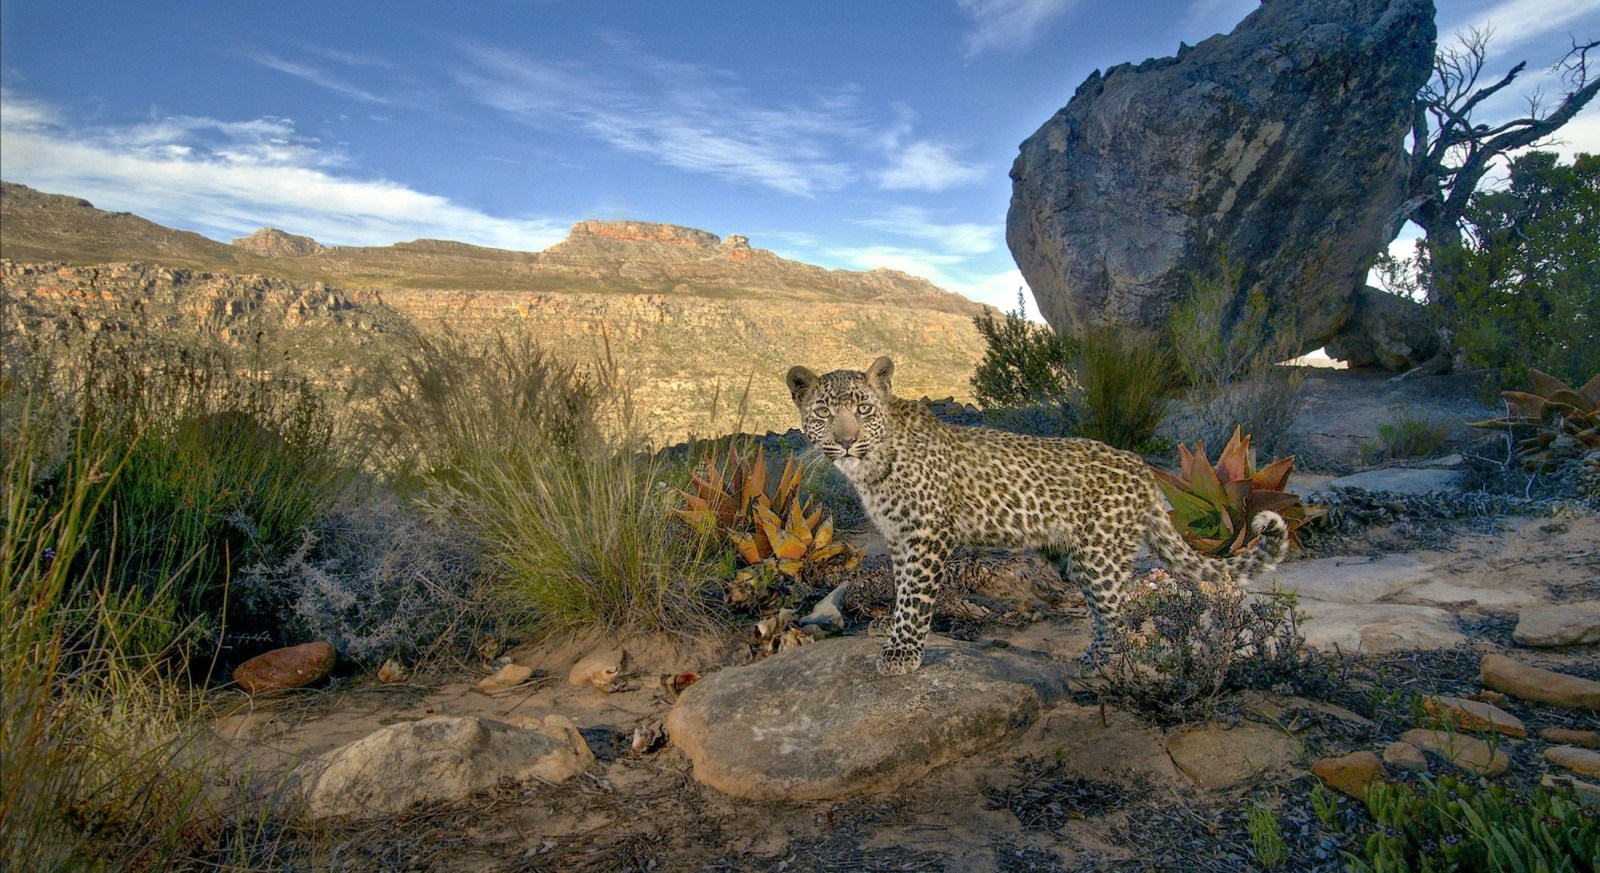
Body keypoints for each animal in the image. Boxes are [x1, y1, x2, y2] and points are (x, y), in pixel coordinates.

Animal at [786, 355, 1289, 677]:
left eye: (863, 408)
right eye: (824, 412)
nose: (846, 441)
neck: (869, 468)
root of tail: (1144, 471)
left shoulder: (927, 535)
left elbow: (915, 598)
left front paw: (902, 653)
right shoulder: (896, 537)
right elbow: (899, 589)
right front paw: (887, 632)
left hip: (1100, 556)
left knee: (1119, 613)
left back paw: (1100, 665)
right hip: (1074, 558)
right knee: (1104, 610)